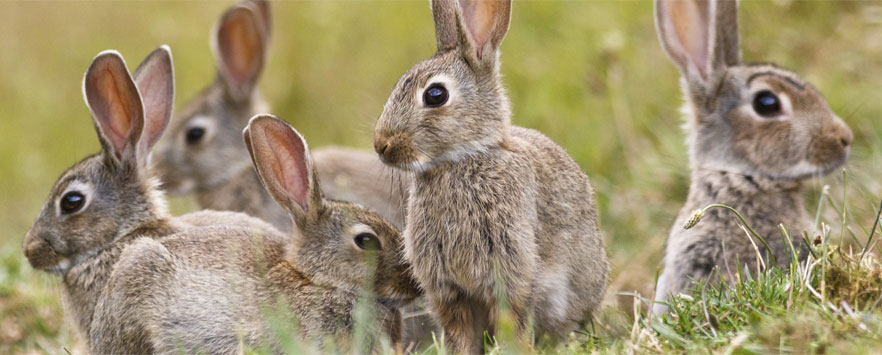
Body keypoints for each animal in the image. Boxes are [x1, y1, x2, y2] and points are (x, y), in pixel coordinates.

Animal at [368, 0, 608, 354]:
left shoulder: (510, 269)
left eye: (435, 94)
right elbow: (460, 331)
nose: (381, 145)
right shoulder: (448, 289)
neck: (460, 160)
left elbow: (513, 318)